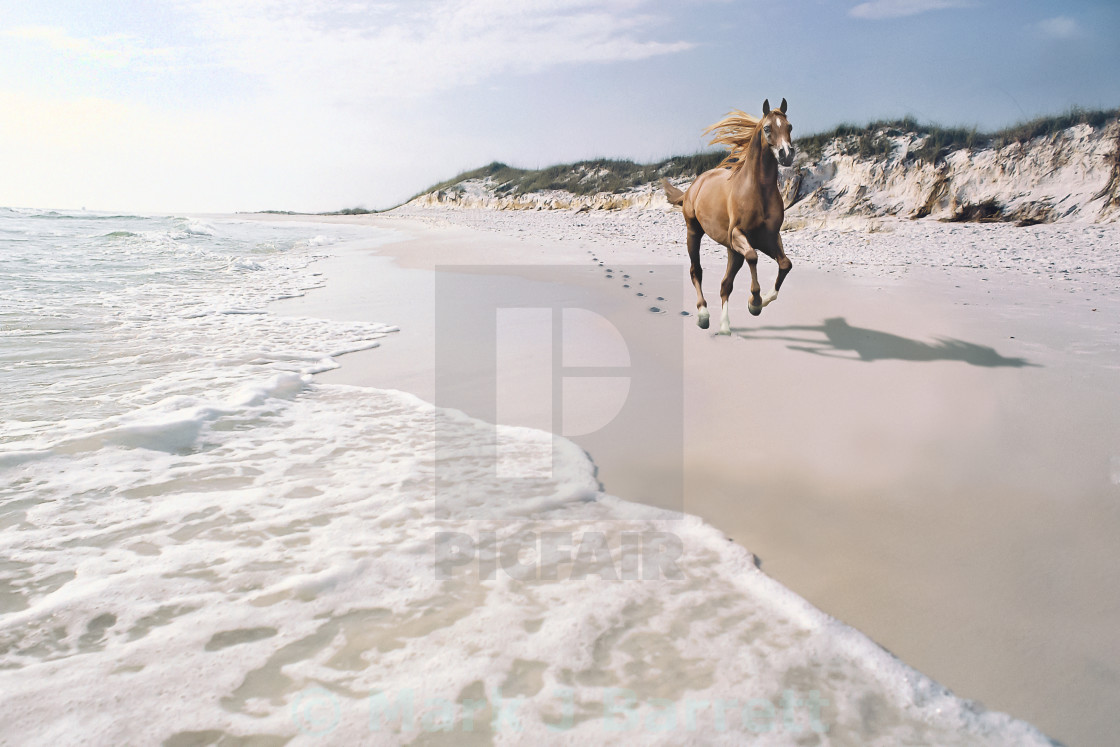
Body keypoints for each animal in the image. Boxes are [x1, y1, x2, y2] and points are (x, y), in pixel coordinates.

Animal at [663, 97, 797, 335]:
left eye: (789, 127)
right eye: (767, 128)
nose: (786, 154)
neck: (757, 190)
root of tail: (695, 185)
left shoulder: (769, 238)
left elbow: (785, 264)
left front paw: (761, 302)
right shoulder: (738, 235)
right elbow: (753, 257)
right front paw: (754, 301)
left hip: (732, 250)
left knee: (726, 284)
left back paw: (725, 326)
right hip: (694, 232)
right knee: (696, 271)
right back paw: (703, 314)